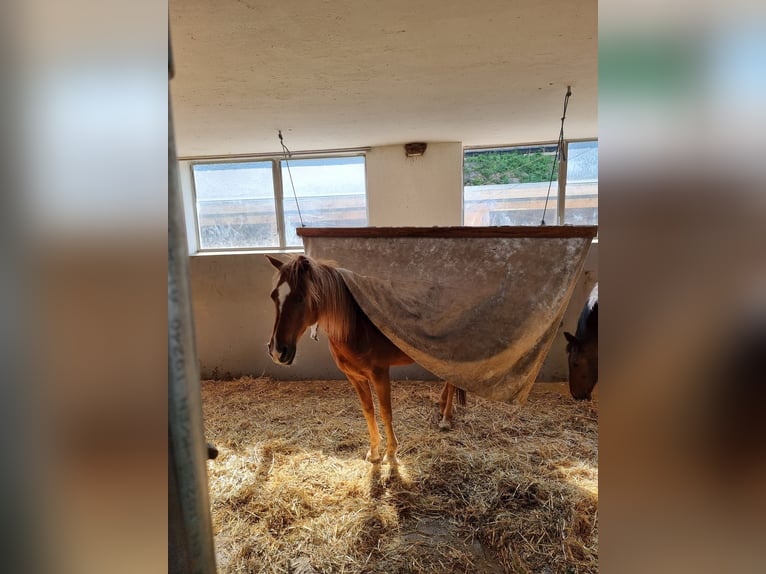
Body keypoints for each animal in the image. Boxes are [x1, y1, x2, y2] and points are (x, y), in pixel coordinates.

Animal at [268, 254, 464, 466]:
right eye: (273, 296)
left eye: (300, 297)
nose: (278, 351)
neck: (356, 327)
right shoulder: (355, 377)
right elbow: (368, 410)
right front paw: (374, 451)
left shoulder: (380, 374)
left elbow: (385, 412)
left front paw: (391, 454)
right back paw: (441, 404)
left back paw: (446, 419)